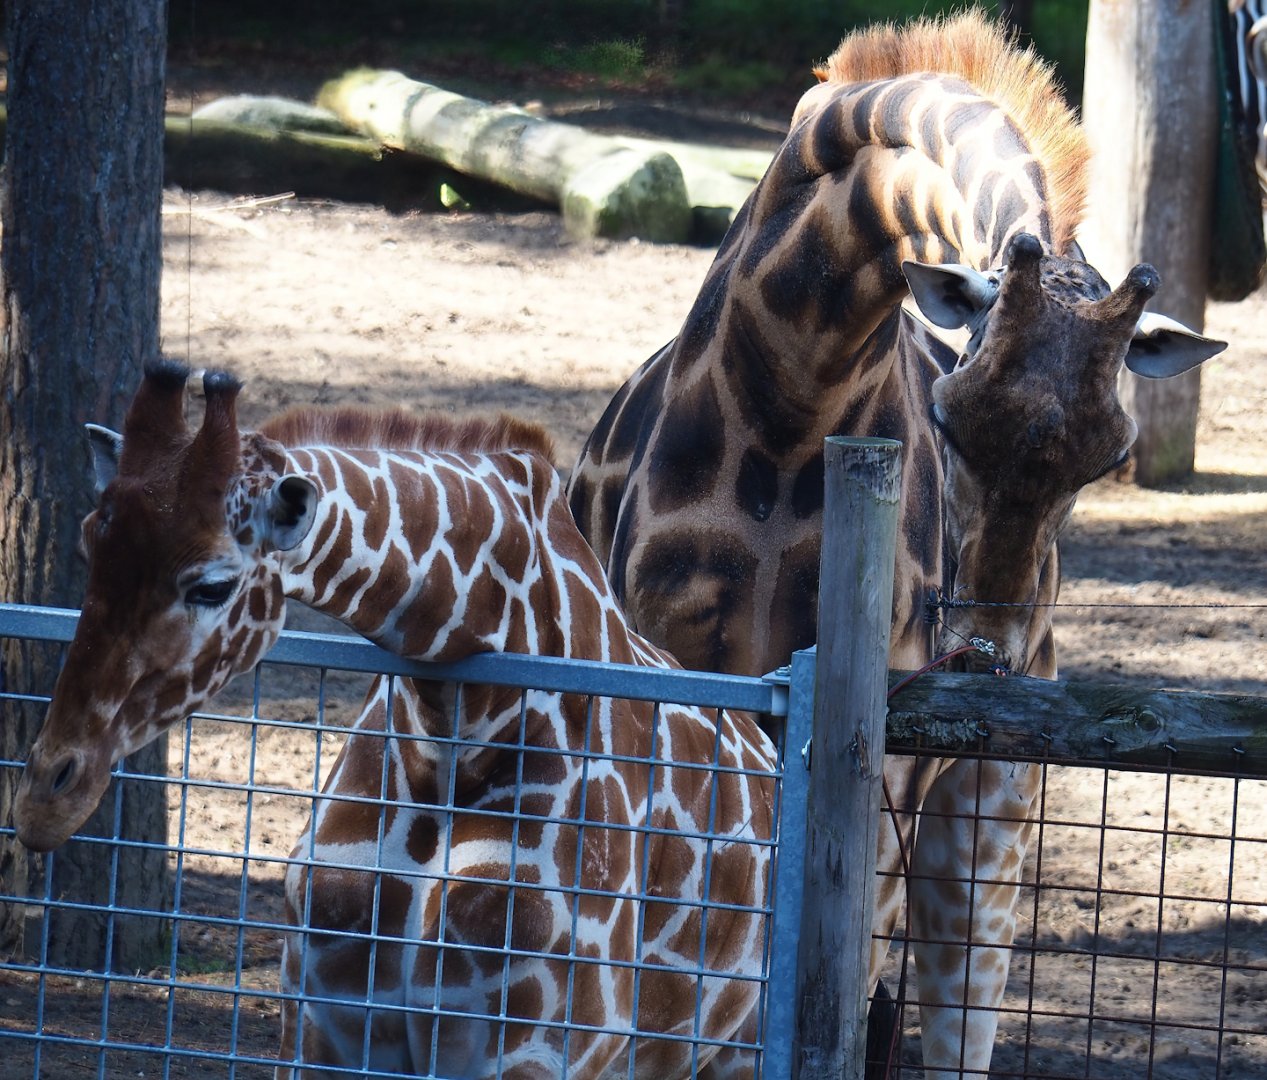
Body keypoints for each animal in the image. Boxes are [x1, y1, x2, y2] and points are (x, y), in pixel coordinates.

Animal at [14, 362, 777, 1079]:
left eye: (211, 585)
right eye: (88, 546)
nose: (43, 800)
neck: (451, 733)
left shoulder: (536, 1048)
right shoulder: (324, 1026)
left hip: (734, 1051)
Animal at [565, 13, 1225, 1077]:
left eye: (1110, 458)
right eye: (947, 419)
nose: (984, 655)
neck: (795, 394)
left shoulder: (875, 767)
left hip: (989, 816)